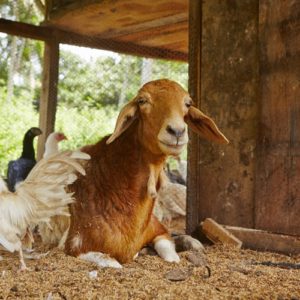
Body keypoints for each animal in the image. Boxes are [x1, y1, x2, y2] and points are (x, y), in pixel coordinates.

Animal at [65, 79, 227, 268]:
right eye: (142, 101)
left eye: (188, 103)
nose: (177, 131)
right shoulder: (76, 245)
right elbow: (113, 263)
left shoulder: (157, 227)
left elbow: (170, 253)